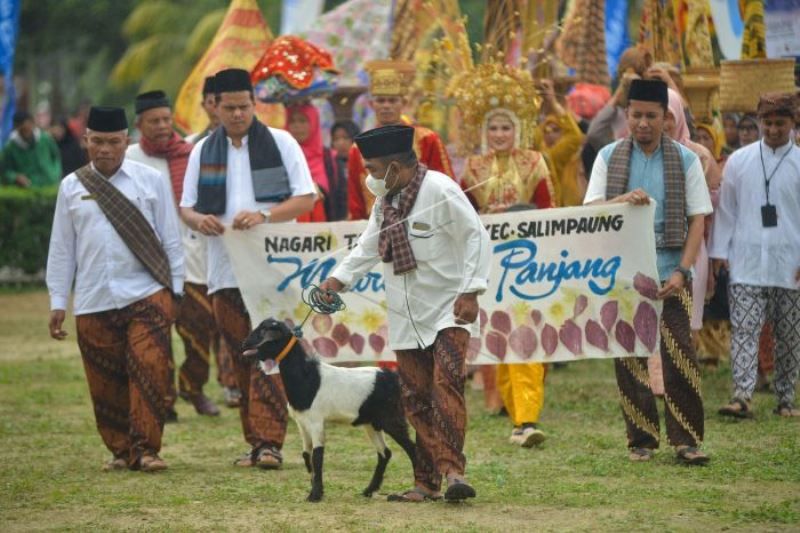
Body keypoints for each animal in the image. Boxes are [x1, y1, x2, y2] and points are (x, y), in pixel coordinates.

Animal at [241, 318, 416, 500]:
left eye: (263, 332)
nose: (244, 344)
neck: (307, 377)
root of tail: (394, 378)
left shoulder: (316, 421)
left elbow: (318, 456)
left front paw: (315, 495)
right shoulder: (302, 423)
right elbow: (306, 454)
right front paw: (314, 486)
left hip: (392, 417)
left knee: (413, 449)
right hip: (371, 423)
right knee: (385, 453)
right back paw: (369, 490)